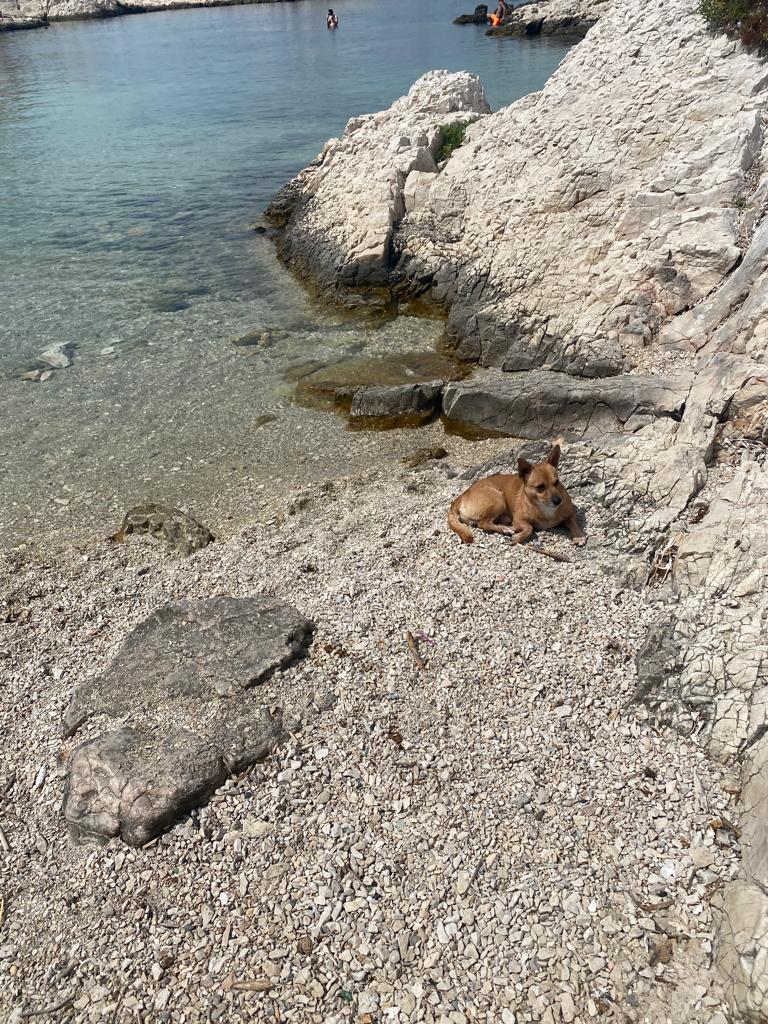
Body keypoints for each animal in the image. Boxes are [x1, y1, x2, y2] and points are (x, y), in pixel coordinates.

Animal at [447, 444, 585, 547]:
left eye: (557, 482)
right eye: (540, 487)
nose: (558, 501)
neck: (545, 509)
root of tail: (460, 497)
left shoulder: (570, 513)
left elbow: (574, 522)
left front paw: (578, 535)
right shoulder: (519, 520)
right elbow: (529, 527)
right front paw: (518, 537)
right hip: (498, 499)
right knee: (483, 523)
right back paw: (506, 529)